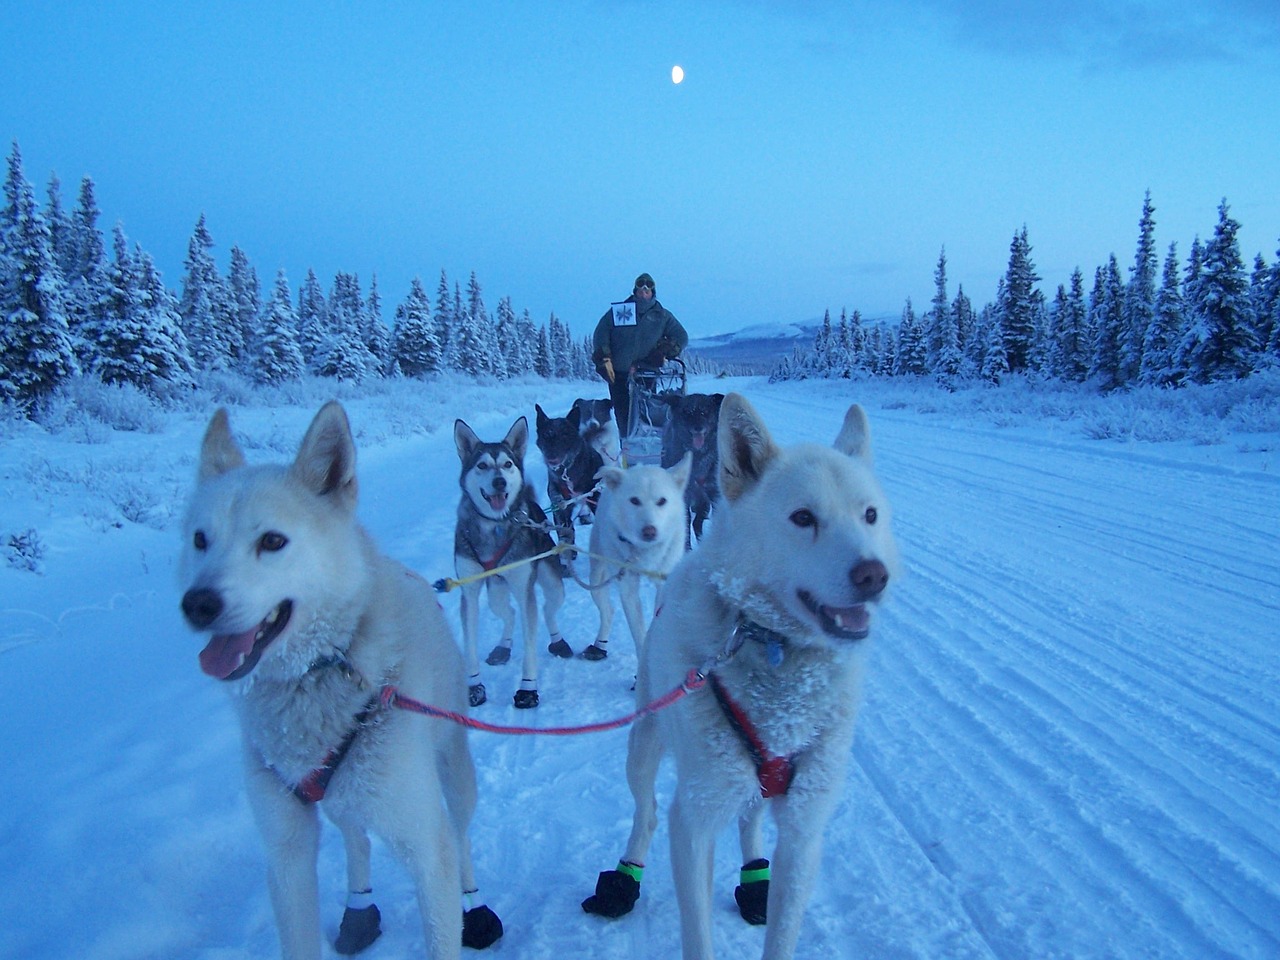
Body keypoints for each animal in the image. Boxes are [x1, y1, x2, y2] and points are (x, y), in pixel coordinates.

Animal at [180, 404, 499, 960]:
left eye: (272, 541)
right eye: (201, 540)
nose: (197, 604)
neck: (320, 674)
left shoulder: (425, 845)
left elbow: (443, 895)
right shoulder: (286, 853)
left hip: (454, 771)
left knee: (461, 837)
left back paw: (474, 904)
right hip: (346, 797)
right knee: (356, 835)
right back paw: (358, 906)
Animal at [583, 455, 696, 665]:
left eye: (662, 501)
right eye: (634, 501)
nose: (649, 531)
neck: (645, 553)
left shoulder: (663, 582)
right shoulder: (627, 587)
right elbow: (638, 633)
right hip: (596, 577)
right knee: (608, 612)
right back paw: (599, 645)